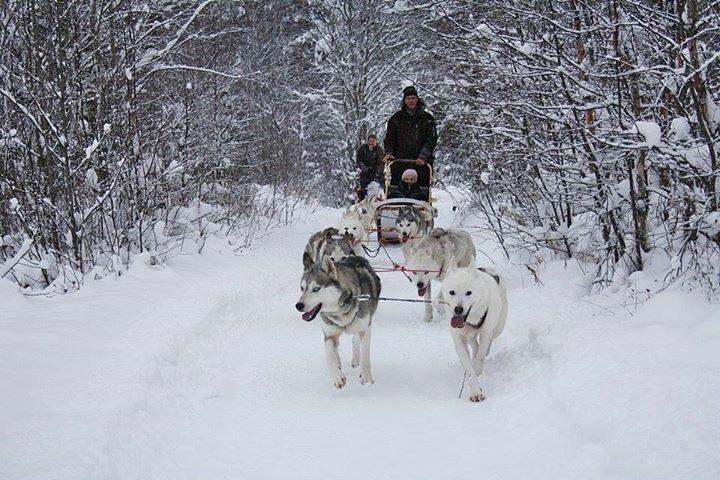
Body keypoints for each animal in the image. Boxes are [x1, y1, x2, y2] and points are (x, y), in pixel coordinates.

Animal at [296, 256, 382, 388]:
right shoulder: (329, 335)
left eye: (316, 289)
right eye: (302, 288)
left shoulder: (365, 329)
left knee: (355, 340)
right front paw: (338, 377)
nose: (298, 305)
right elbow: (329, 357)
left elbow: (365, 356)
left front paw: (366, 378)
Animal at [442, 266, 510, 402]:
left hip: (498, 327)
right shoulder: (459, 341)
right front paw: (475, 391)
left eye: (469, 293)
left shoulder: (486, 333)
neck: (470, 320)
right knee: (474, 344)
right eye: (452, 292)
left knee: (488, 341)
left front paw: (478, 370)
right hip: (469, 335)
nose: (458, 309)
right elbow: (469, 368)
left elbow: (481, 356)